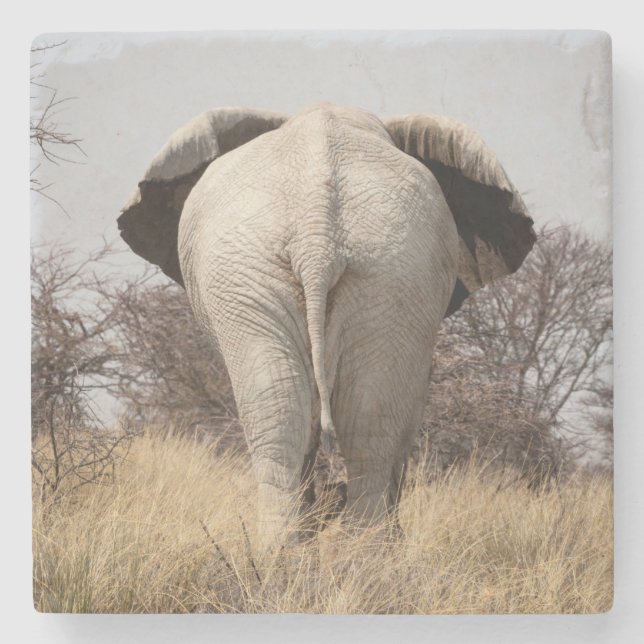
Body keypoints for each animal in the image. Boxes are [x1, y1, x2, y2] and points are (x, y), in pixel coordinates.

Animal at [118, 103, 535, 549]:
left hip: (375, 272)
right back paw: (339, 553)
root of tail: (317, 232)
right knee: (337, 417)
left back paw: (313, 554)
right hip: (310, 271)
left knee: (327, 415)